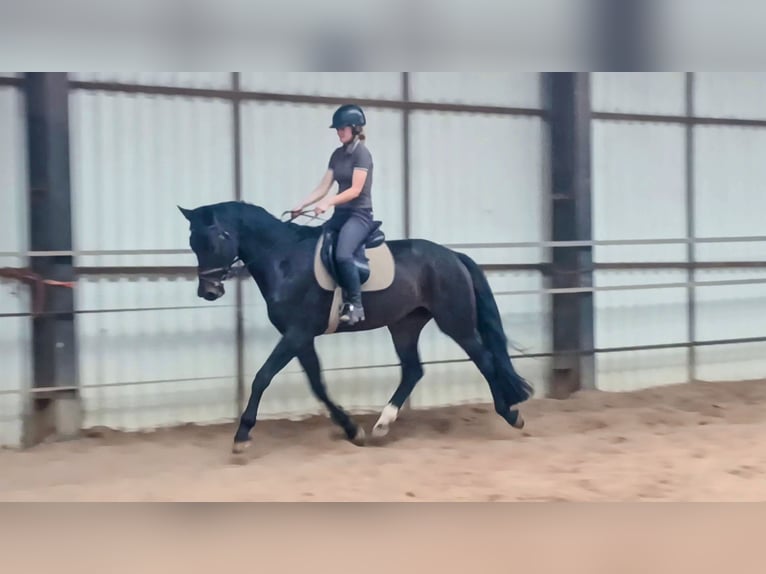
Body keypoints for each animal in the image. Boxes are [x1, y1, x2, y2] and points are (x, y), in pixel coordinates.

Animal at [178, 200, 533, 454]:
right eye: (193, 243)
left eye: (213, 241)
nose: (209, 292)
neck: (283, 259)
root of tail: (453, 256)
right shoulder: (301, 337)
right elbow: (317, 384)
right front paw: (352, 429)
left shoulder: (296, 333)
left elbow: (263, 377)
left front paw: (242, 435)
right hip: (404, 325)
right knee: (413, 370)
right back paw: (382, 425)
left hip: (455, 322)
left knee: (484, 360)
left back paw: (511, 415)